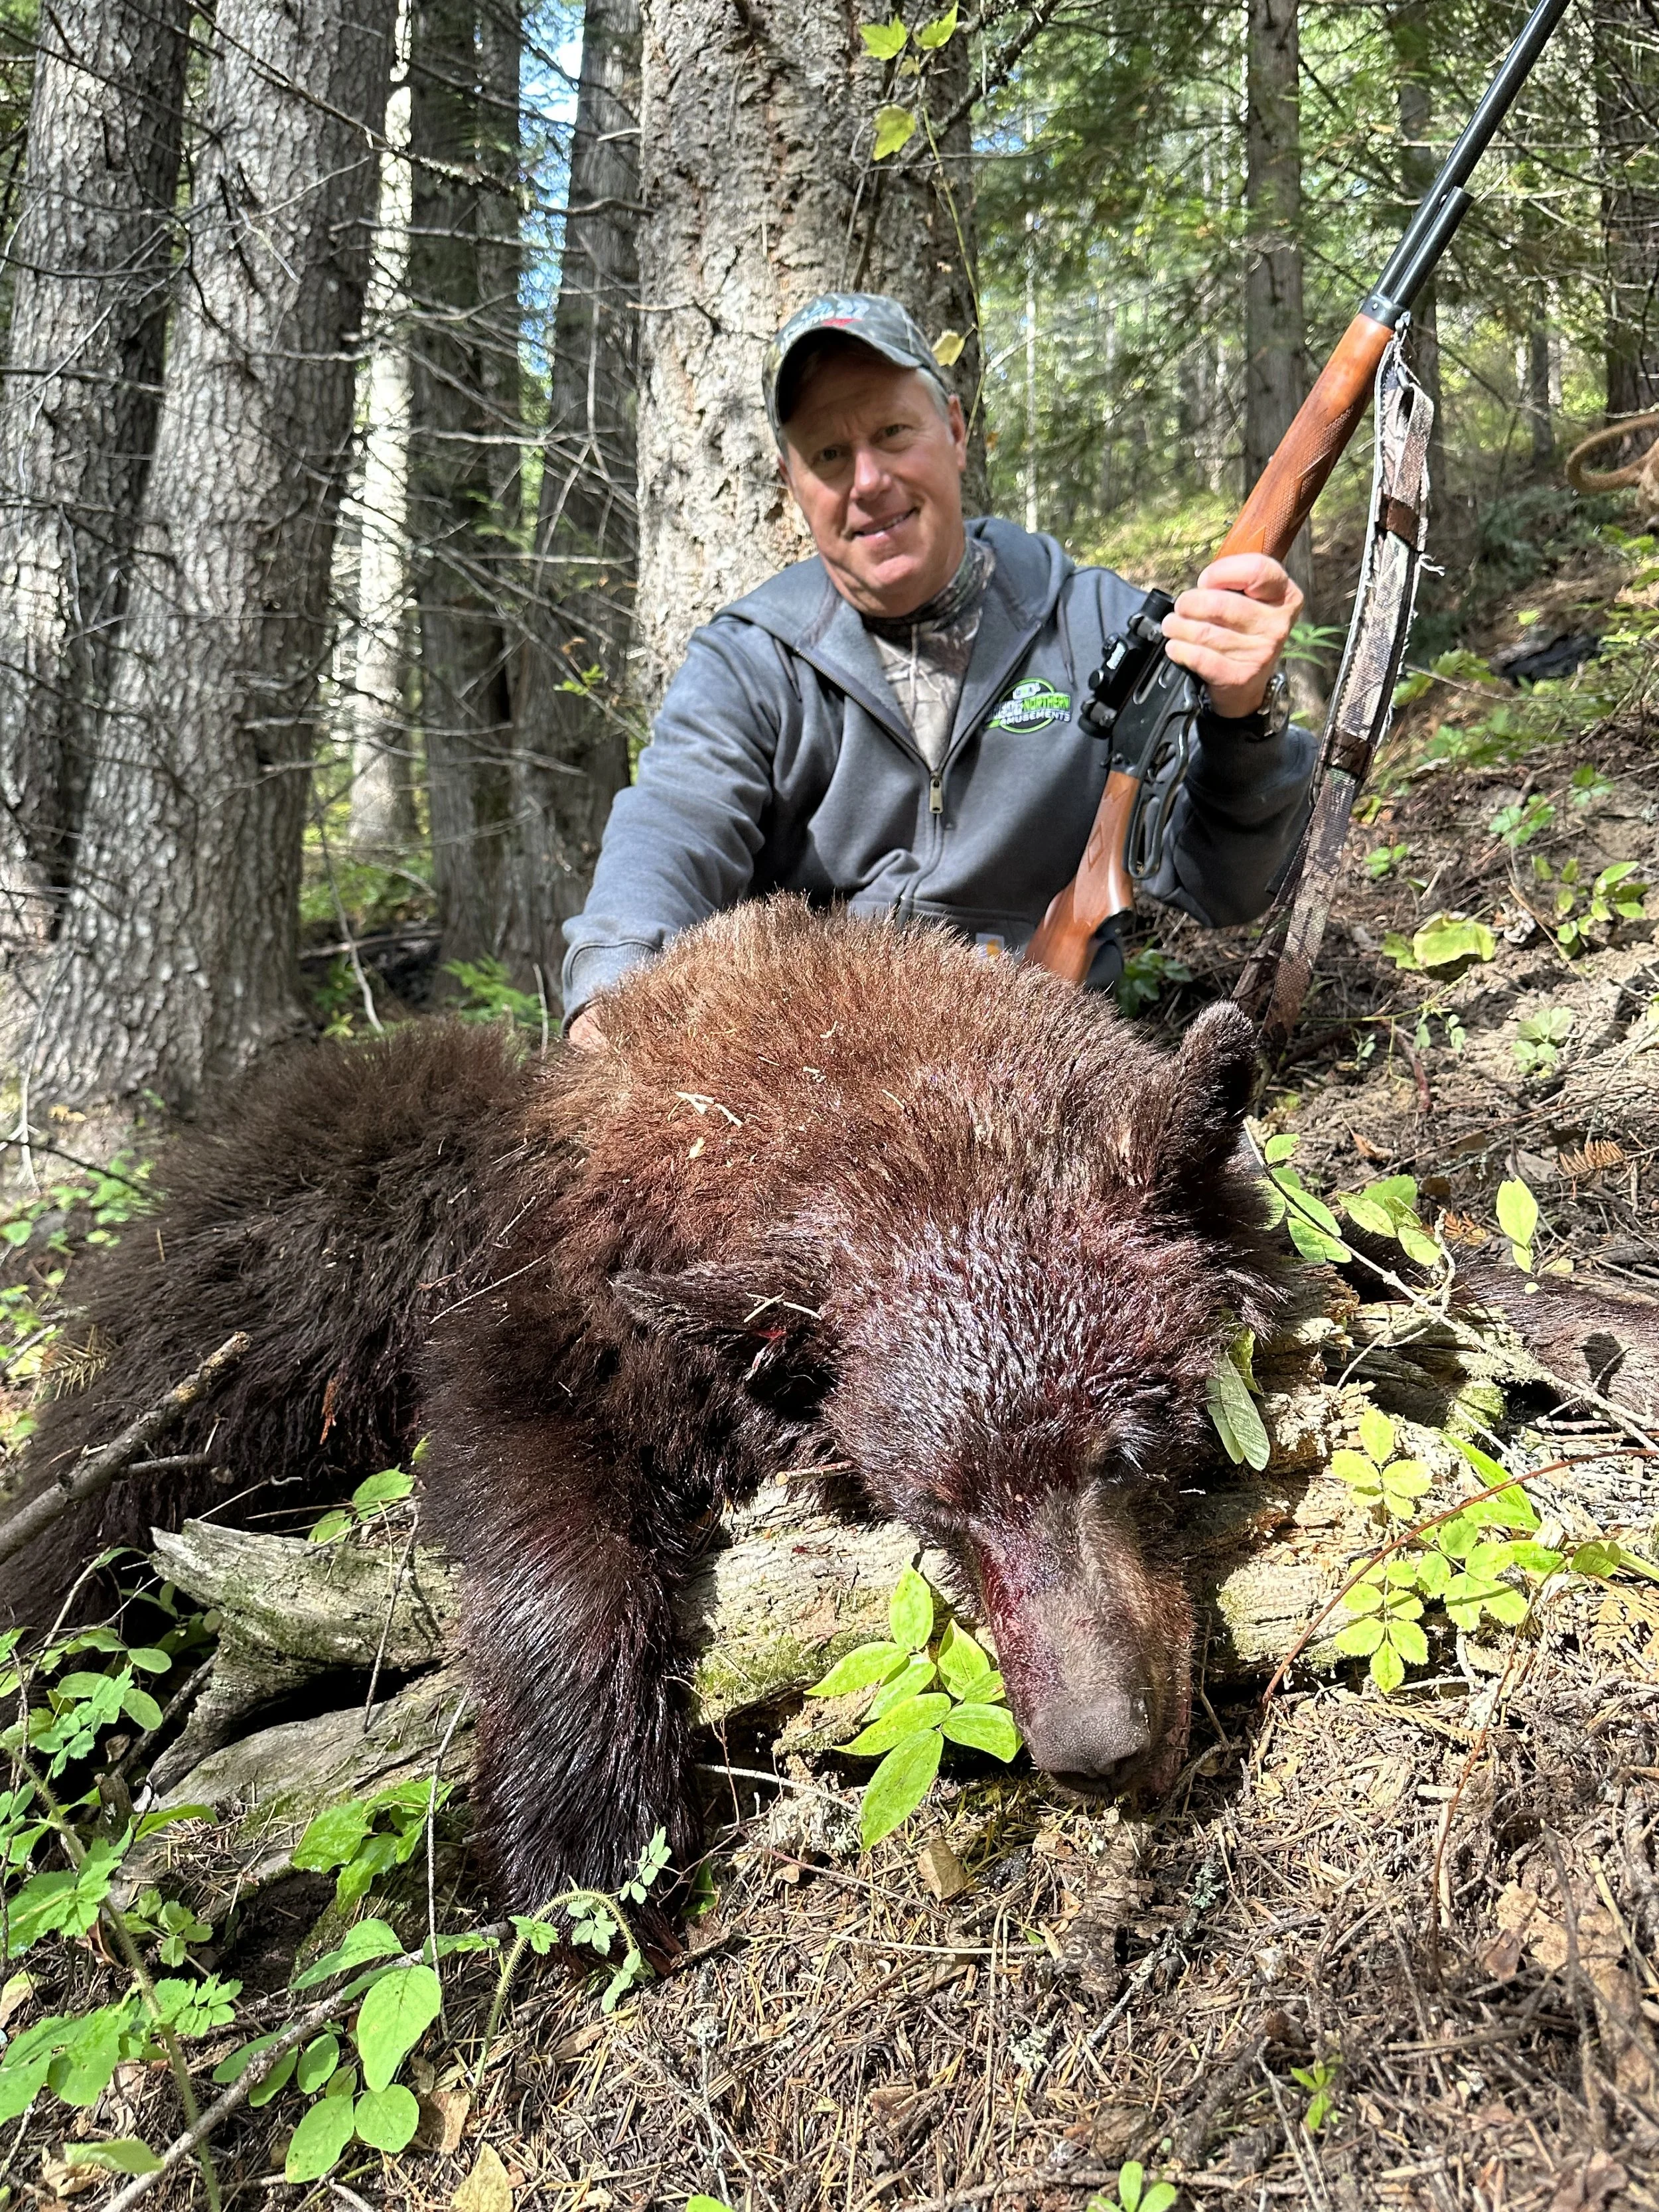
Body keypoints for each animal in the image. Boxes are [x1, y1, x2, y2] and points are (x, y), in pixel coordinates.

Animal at [2, 902, 1280, 1910]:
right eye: (937, 1507)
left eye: (1125, 1450)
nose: (1095, 1747)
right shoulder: (558, 1295)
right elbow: (529, 1474)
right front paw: (580, 1837)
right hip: (280, 1288)